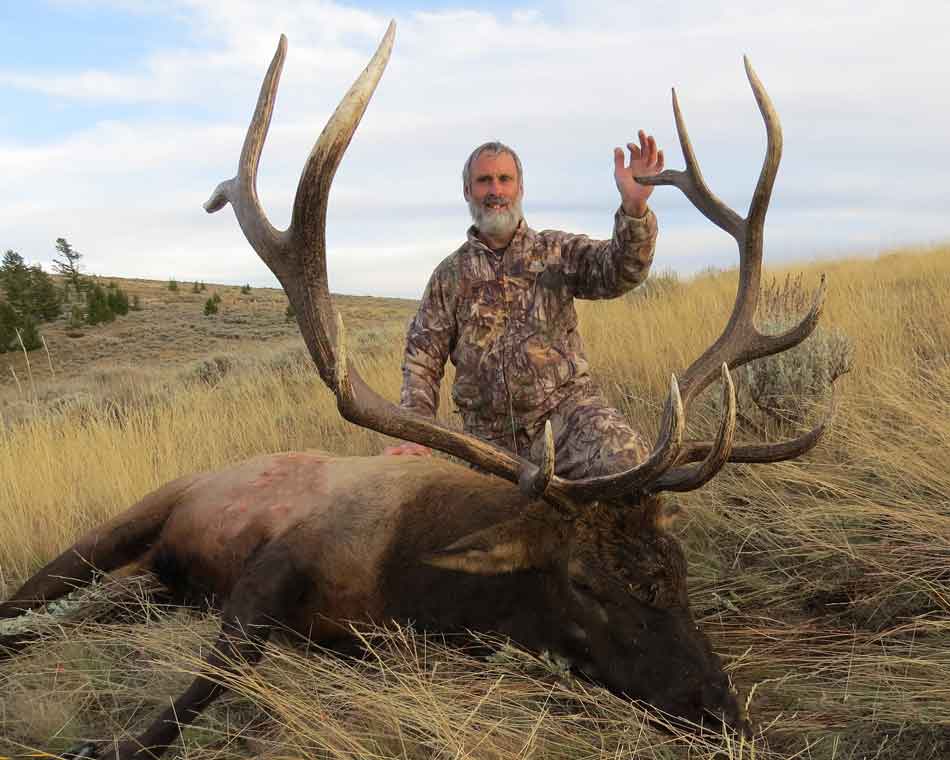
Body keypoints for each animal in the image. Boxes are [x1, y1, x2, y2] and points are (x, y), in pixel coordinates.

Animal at [0, 21, 831, 760]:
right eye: (585, 583)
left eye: (680, 570)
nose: (723, 711)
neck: (412, 584)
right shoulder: (279, 557)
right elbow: (218, 671)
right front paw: (112, 743)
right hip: (126, 521)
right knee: (31, 597)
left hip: (146, 578)